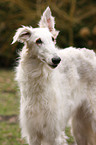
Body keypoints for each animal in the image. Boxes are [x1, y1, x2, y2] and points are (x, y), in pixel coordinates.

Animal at [12, 7, 96, 145]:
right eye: (38, 41)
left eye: (53, 39)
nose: (57, 60)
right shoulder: (33, 134)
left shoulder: (55, 134)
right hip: (80, 126)